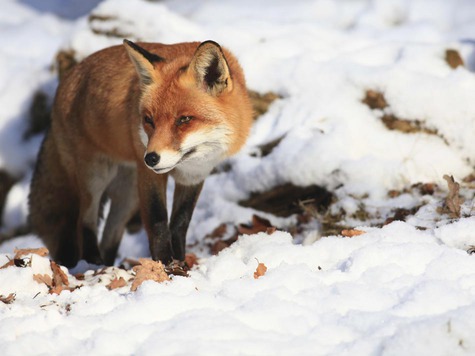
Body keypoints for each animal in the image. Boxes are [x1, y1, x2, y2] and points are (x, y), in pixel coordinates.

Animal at [28, 39, 255, 268]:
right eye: (149, 120)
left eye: (184, 120)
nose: (151, 158)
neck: (189, 162)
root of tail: (68, 77)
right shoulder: (149, 175)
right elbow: (157, 220)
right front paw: (165, 264)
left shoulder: (194, 175)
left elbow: (180, 223)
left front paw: (180, 263)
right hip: (96, 177)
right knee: (85, 222)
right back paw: (93, 263)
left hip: (128, 195)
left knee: (110, 236)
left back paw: (107, 265)